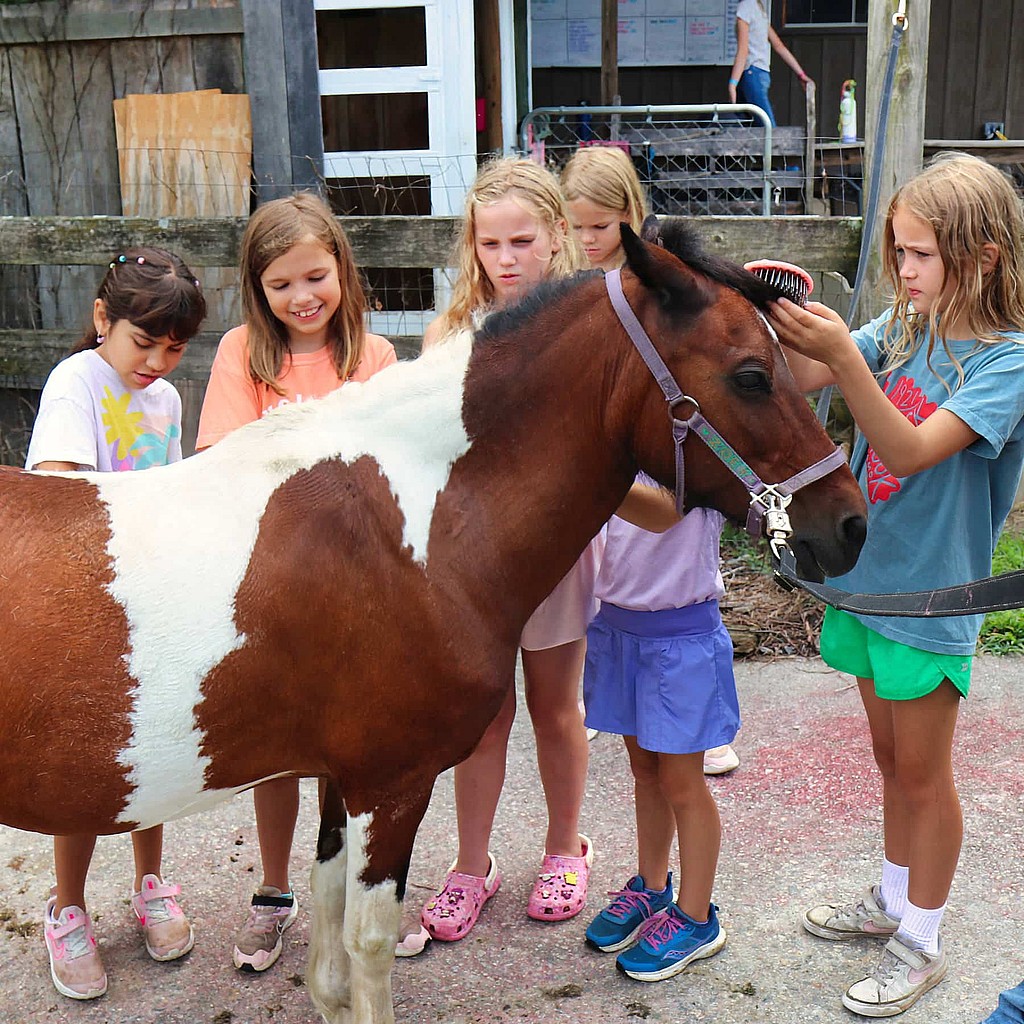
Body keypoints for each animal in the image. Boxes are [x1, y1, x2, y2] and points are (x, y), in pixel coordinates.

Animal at [0, 228, 864, 1019]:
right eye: (751, 375)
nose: (849, 524)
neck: (403, 527)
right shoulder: (391, 785)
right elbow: (367, 944)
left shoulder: (341, 782)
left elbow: (329, 950)